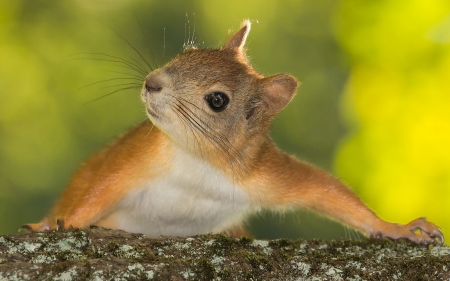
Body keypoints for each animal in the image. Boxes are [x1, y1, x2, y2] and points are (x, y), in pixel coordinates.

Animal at [22, 19, 442, 244]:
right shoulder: (138, 155)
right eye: (188, 52)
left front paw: (396, 228)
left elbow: (323, 190)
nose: (152, 82)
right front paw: (54, 223)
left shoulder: (262, 172)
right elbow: (100, 187)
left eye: (218, 100)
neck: (200, 161)